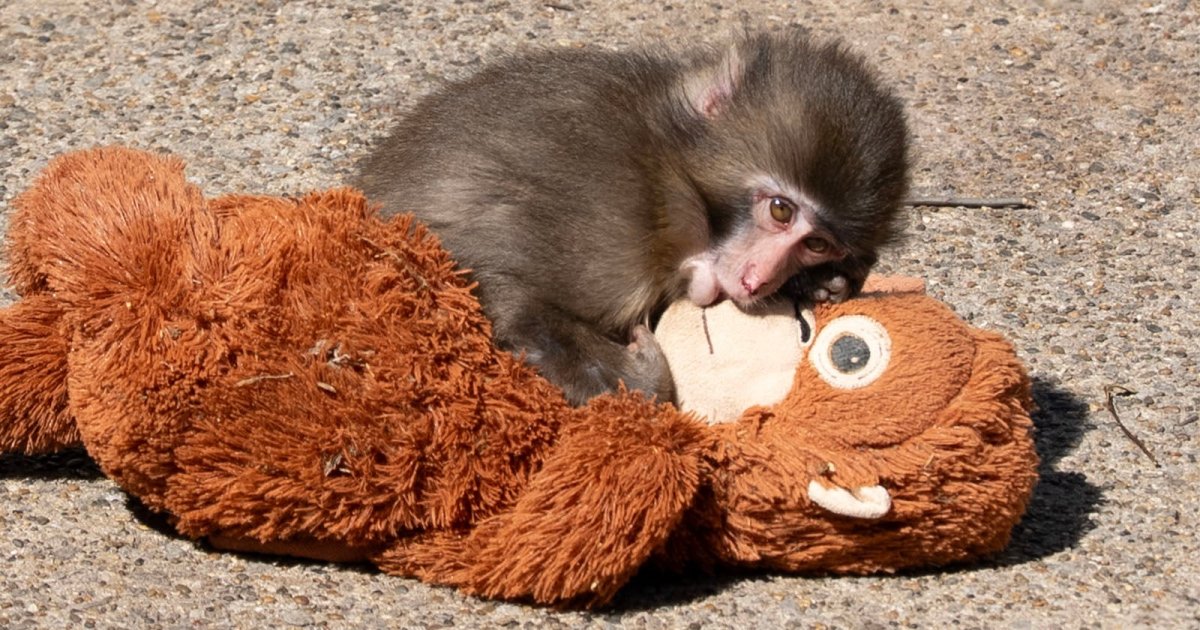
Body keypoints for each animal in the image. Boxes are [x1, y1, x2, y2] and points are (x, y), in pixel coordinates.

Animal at [354, 31, 910, 406]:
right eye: (780, 210)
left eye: (816, 244)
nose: (759, 280)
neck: (666, 173)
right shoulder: (607, 220)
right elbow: (497, 289)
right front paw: (644, 377)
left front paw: (823, 283)